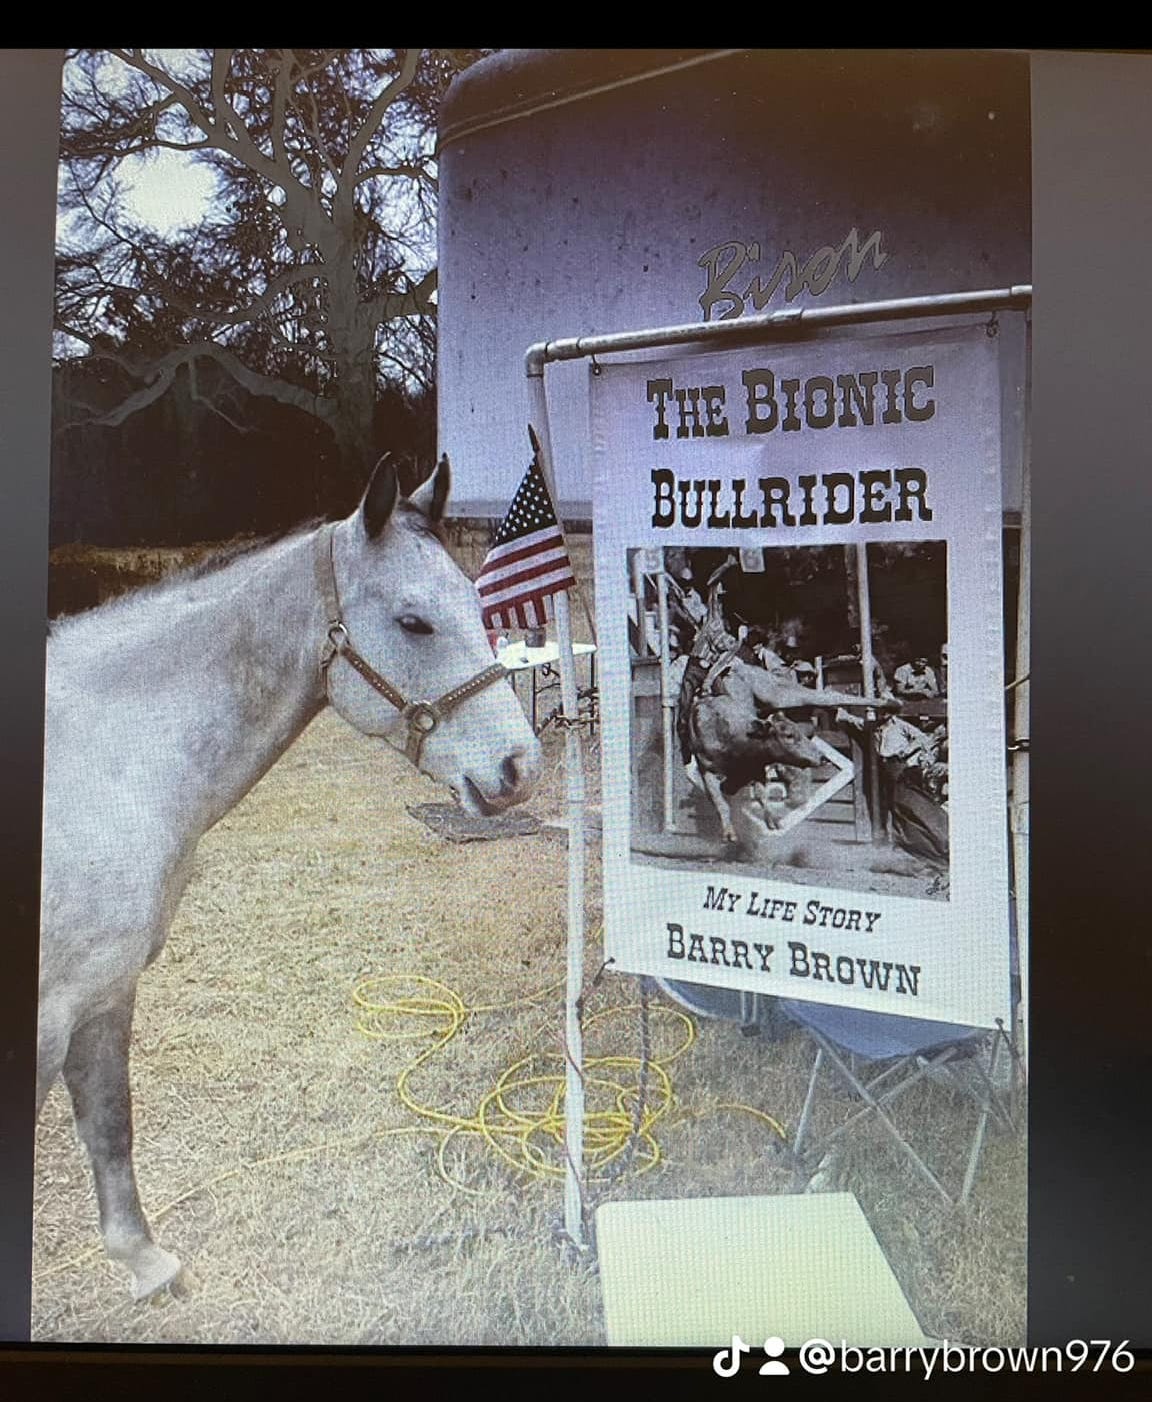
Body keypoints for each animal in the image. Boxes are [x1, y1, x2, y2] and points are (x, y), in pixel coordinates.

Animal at [36, 454, 540, 1295]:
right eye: (414, 623)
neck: (101, 761)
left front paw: (144, 1262)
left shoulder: (102, 992)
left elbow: (110, 1122)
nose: (519, 769)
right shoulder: (45, 1018)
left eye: (477, 604)